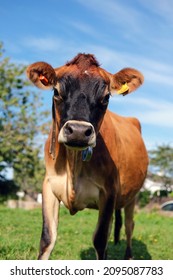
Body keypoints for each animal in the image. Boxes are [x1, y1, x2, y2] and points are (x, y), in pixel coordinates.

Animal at [26, 53, 148, 260]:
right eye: (56, 91)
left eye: (106, 97)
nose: (78, 131)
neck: (73, 165)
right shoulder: (49, 185)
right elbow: (47, 239)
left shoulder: (109, 192)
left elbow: (99, 240)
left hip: (133, 195)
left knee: (129, 226)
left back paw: (129, 256)